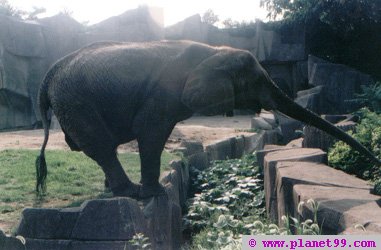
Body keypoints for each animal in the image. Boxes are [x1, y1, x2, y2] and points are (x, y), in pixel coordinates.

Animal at [35, 40, 378, 198]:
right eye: (257, 81)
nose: (375, 187)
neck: (212, 51)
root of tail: (47, 76)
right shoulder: (163, 92)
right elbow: (151, 132)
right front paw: (157, 194)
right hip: (76, 101)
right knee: (102, 145)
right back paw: (131, 192)